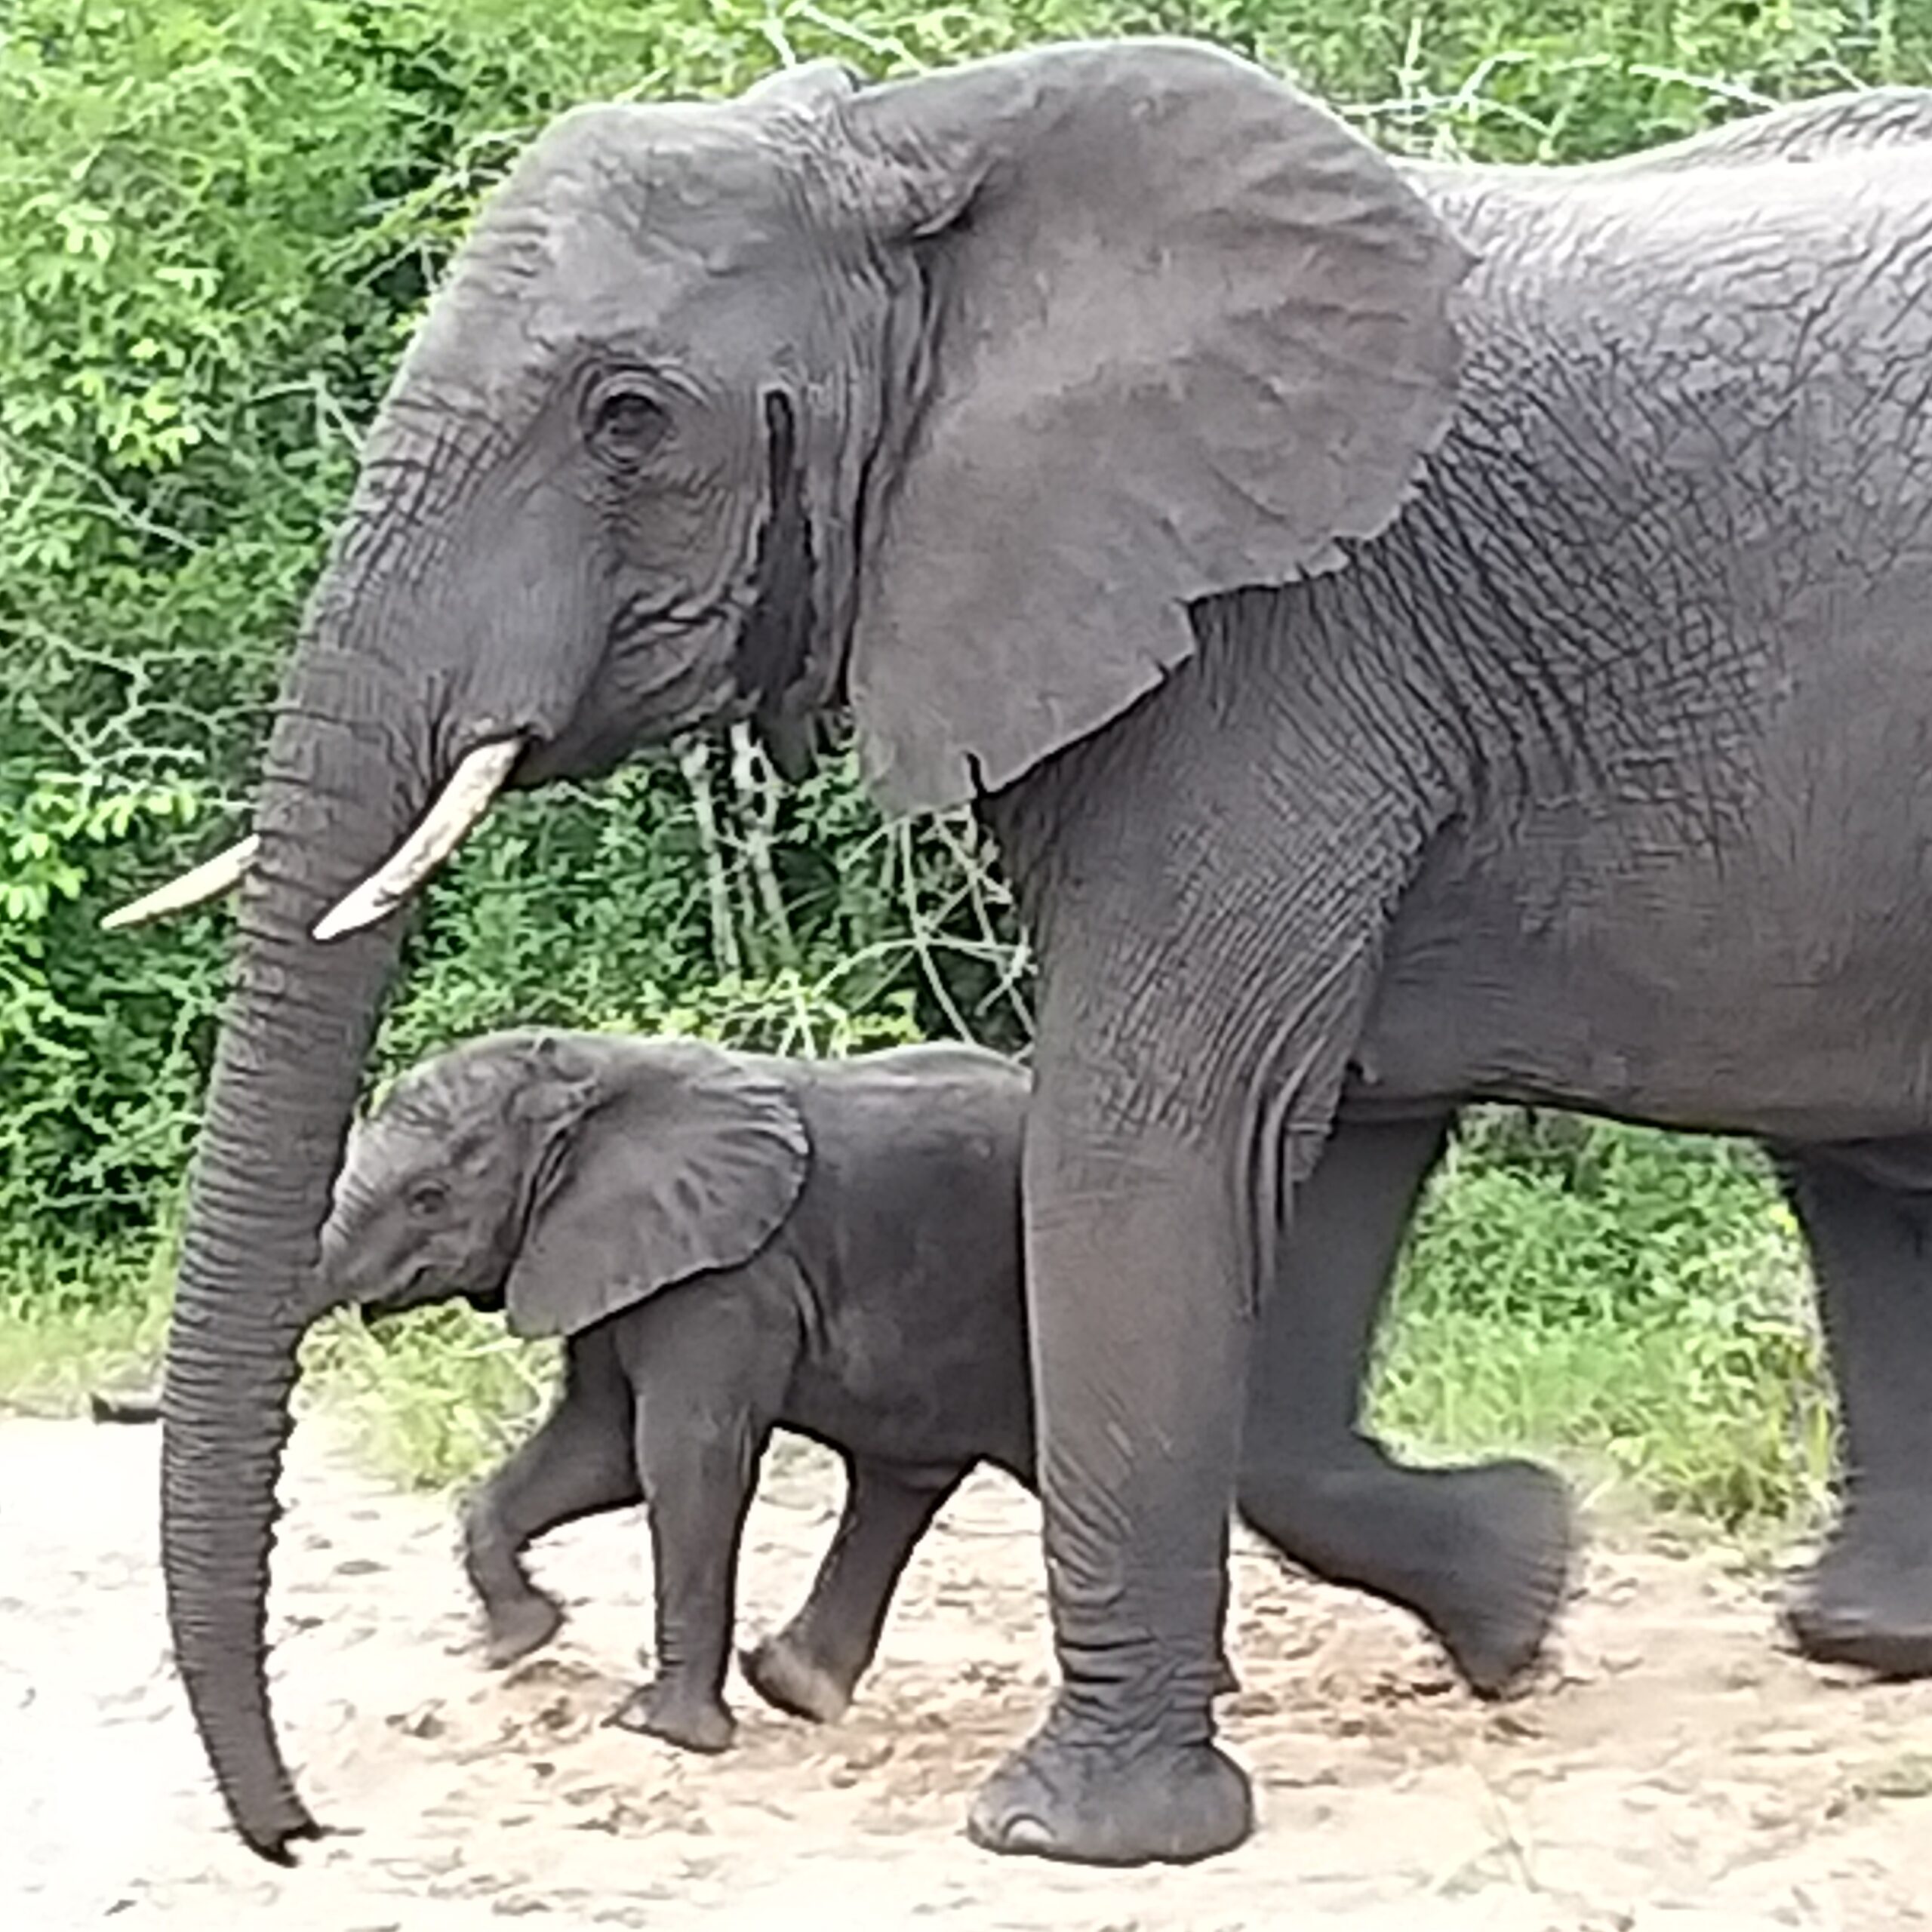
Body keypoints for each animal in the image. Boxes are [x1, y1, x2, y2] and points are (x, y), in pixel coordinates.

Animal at [320, 1035, 1043, 1761]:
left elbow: (684, 1461)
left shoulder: (726, 1278)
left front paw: (659, 1729)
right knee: (901, 1479)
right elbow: (601, 1448)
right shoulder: (619, 1261)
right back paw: (794, 1688)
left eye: (428, 1198)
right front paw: (520, 1639)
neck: (591, 1077)